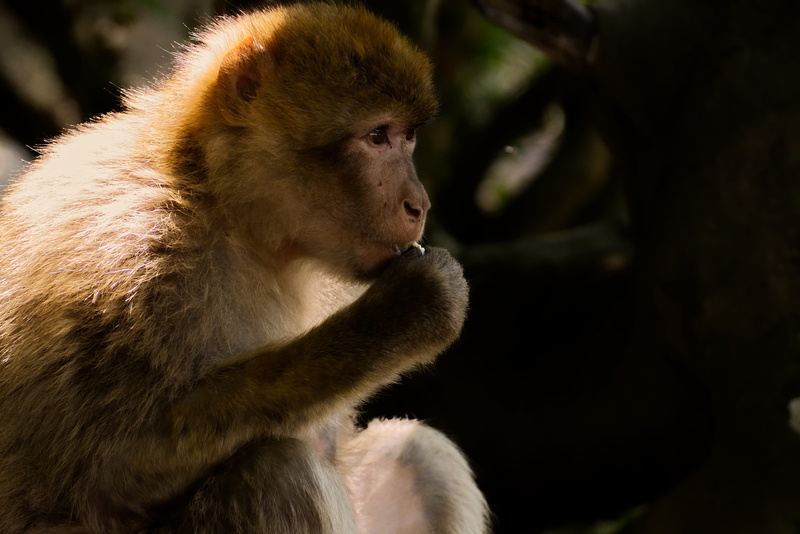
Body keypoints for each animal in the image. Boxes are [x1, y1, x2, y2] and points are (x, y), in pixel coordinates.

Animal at [0, 3, 490, 534]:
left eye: (407, 137)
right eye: (377, 136)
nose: (420, 204)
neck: (221, 204)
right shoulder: (126, 268)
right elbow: (106, 480)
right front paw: (402, 314)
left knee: (421, 456)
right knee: (277, 472)